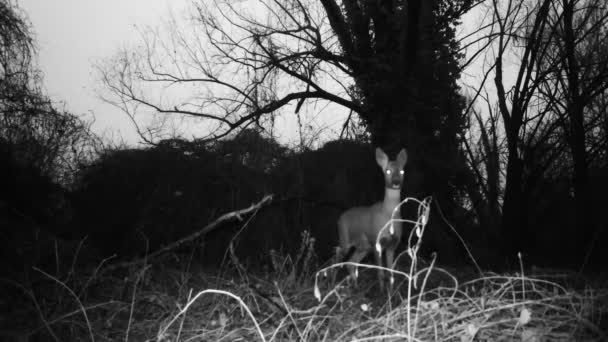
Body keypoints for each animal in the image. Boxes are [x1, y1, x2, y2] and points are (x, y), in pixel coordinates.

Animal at [338, 148, 408, 288]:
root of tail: (340, 218)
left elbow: (390, 274)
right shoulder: (377, 241)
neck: (388, 216)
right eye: (387, 170)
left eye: (402, 171)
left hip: (363, 246)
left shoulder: (393, 244)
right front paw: (381, 291)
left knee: (351, 263)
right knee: (337, 256)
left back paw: (355, 287)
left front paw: (391, 292)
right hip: (345, 237)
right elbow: (380, 273)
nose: (396, 182)